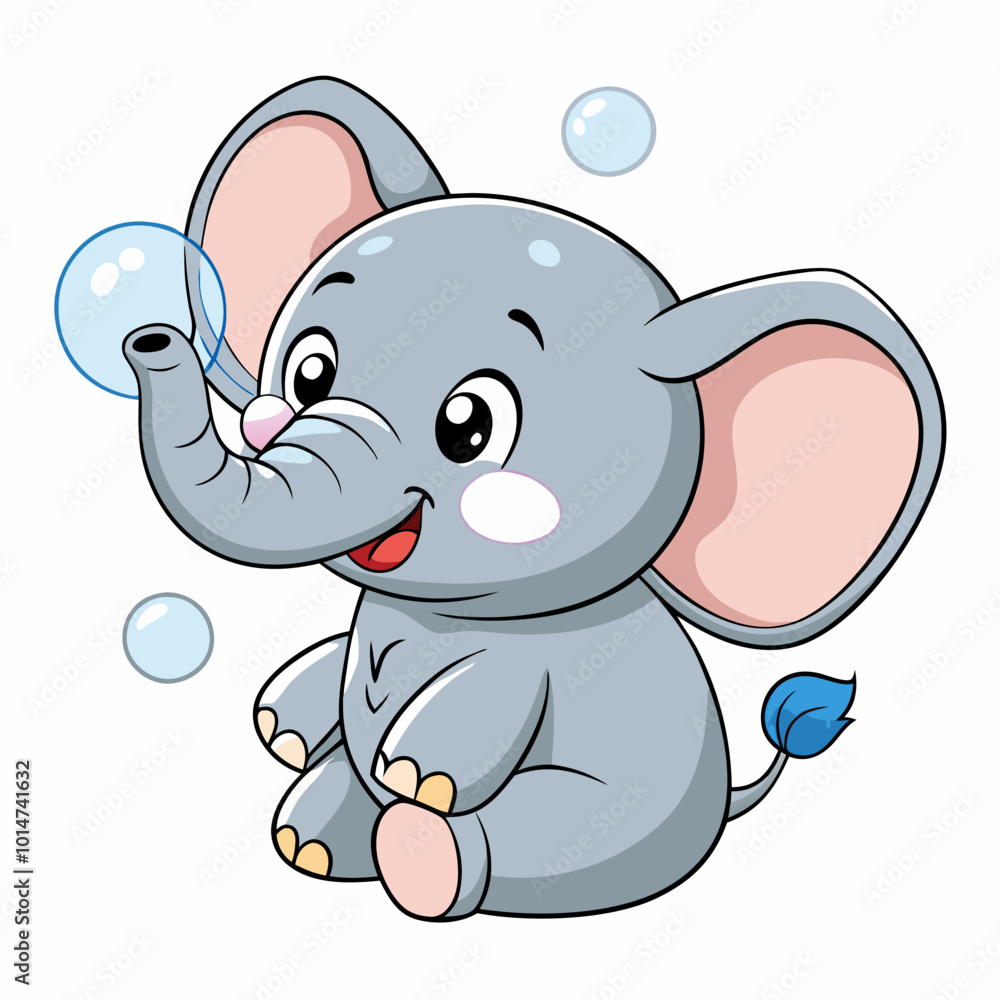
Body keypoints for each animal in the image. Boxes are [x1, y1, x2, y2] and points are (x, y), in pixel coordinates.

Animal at [121, 77, 944, 919]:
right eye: (309, 373)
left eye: (469, 426)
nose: (150, 341)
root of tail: (723, 803)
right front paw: (282, 722)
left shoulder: (533, 664)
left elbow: (475, 715)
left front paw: (415, 773)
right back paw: (310, 843)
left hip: (598, 820)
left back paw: (420, 857)